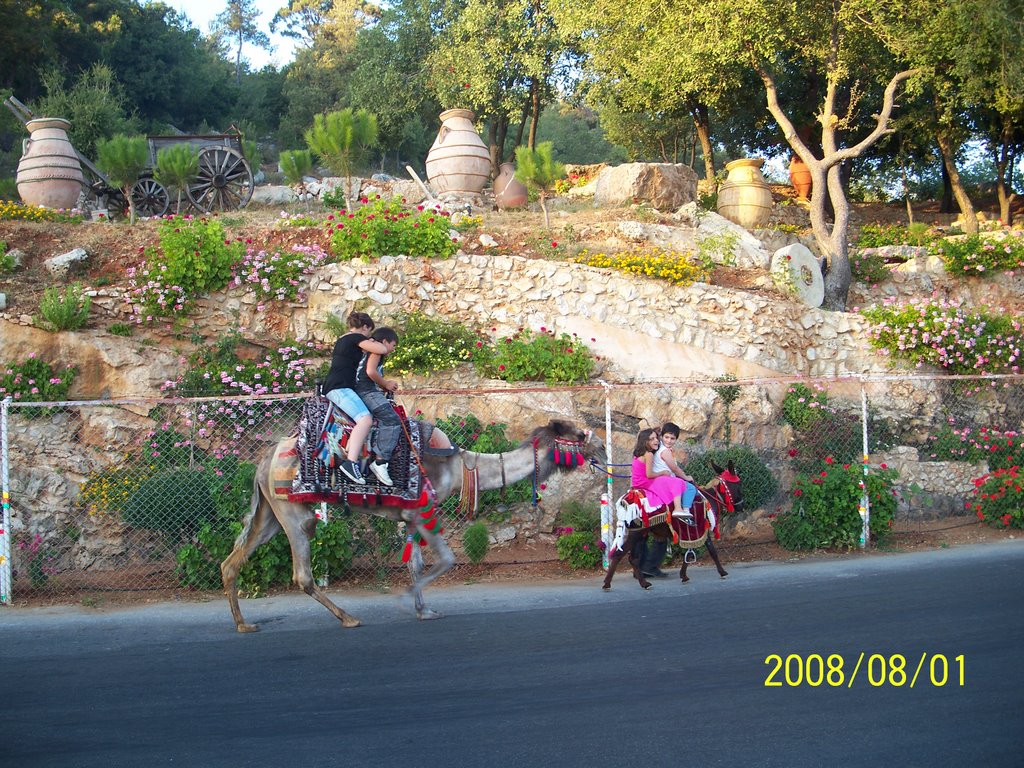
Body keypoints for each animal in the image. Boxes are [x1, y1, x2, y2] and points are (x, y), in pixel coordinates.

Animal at [217, 421, 598, 630]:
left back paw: (243, 624)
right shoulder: (424, 509)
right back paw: (348, 618)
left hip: (271, 509)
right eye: (581, 436)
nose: (601, 449)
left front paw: (423, 609)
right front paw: (408, 601)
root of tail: (265, 458)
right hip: (294, 512)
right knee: (303, 574)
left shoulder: (411, 516)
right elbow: (446, 560)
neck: (460, 467)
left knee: (232, 561)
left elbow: (415, 563)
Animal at [598, 460, 745, 593]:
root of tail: (625, 502)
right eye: (738, 484)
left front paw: (684, 575)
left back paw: (641, 583)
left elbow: (689, 553)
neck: (709, 498)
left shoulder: (691, 533)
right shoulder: (701, 530)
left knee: (632, 558)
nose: (741, 506)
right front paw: (722, 572)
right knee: (620, 555)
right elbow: (711, 551)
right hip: (636, 533)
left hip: (640, 534)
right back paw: (609, 584)